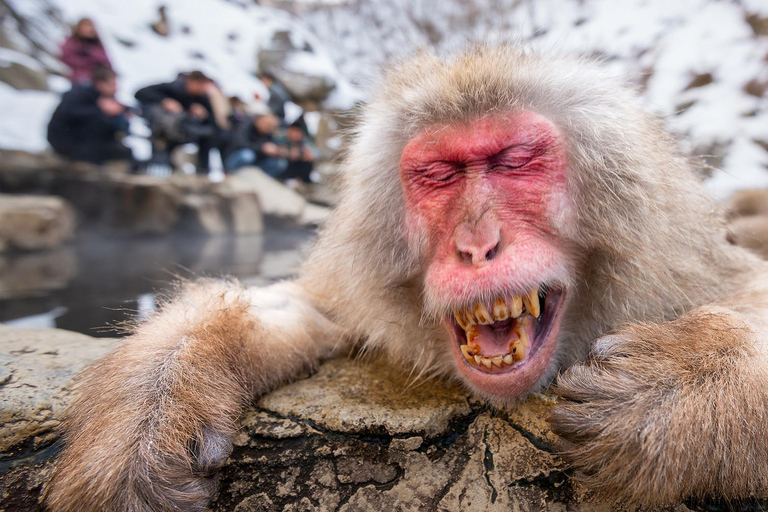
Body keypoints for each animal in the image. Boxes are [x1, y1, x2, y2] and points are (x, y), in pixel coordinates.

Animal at [45, 44, 768, 511]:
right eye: (439, 174)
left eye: (514, 161)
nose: (476, 245)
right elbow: (295, 311)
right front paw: (147, 416)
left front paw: (685, 381)